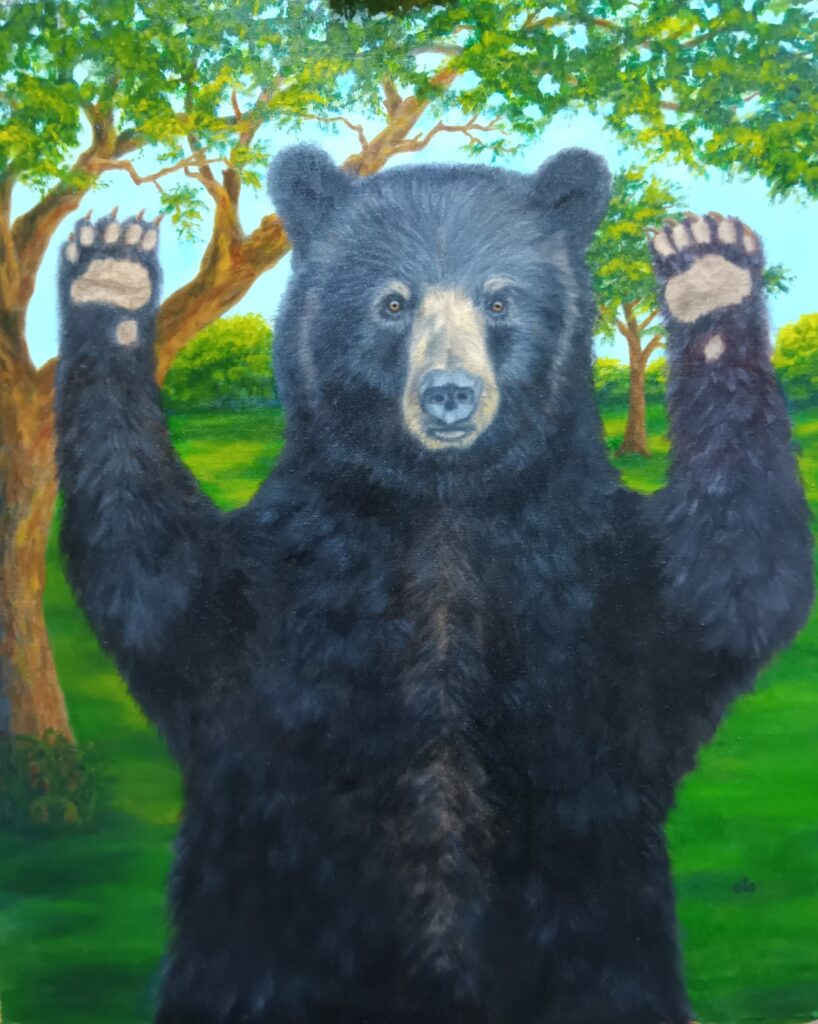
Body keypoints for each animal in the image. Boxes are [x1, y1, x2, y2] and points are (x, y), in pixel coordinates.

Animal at [54, 145, 814, 1024]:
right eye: (393, 303)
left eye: (499, 298)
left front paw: (707, 266)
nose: (449, 394)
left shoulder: (594, 578)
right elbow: (157, 578)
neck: (442, 506)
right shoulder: (287, 580)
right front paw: (109, 272)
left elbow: (730, 582)